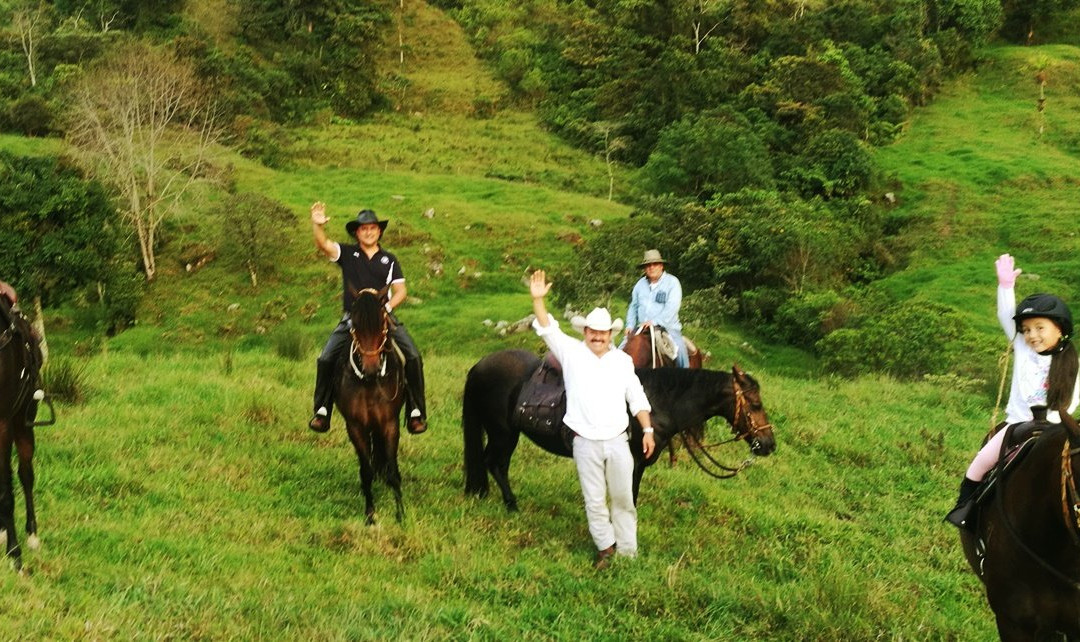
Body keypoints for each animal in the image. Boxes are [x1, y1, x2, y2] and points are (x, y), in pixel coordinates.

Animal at [332, 287, 406, 523]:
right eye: (354, 324)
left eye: (382, 323)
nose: (371, 369)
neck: (371, 383)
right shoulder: (355, 426)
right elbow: (366, 471)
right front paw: (370, 515)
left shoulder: (390, 423)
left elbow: (392, 471)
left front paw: (401, 514)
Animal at [460, 348, 773, 507]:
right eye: (756, 403)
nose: (769, 444)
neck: (654, 402)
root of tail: (479, 365)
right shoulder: (632, 460)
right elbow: (628, 497)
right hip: (503, 433)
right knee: (494, 463)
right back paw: (511, 503)